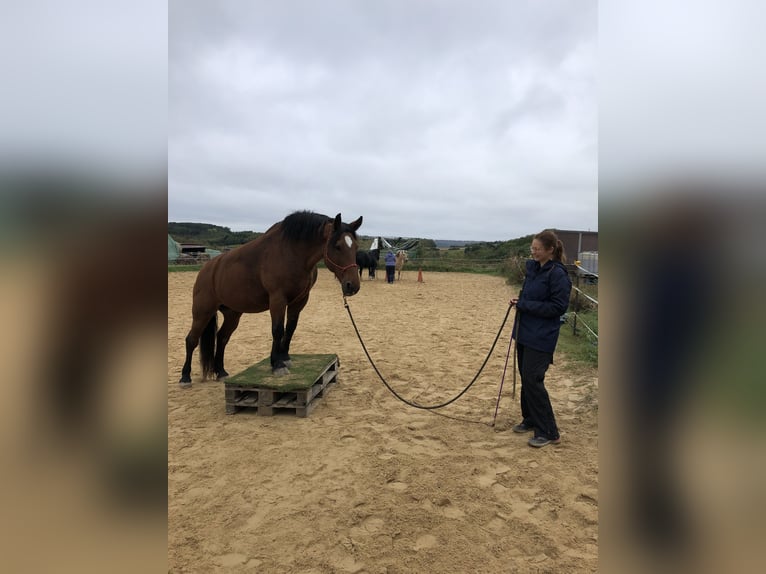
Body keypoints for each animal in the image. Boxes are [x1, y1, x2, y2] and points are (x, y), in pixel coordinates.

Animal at [180, 212, 364, 388]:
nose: (352, 286)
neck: (292, 253)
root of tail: (207, 269)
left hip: (232, 314)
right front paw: (278, 365)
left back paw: (221, 372)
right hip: (202, 312)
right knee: (191, 340)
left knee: (222, 338)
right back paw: (185, 377)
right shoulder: (277, 299)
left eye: (355, 247)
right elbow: (277, 330)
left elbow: (290, 328)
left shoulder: (299, 301)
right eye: (338, 246)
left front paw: (284, 358)